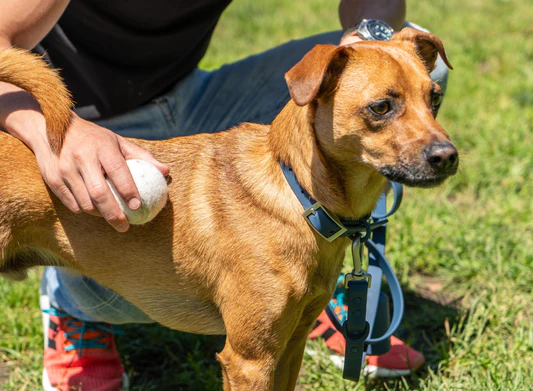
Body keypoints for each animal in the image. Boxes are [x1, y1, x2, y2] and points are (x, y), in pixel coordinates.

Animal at [0, 28, 458, 391]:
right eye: (381, 107)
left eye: (435, 99)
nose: (447, 156)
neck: (298, 194)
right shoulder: (249, 360)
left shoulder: (290, 346)